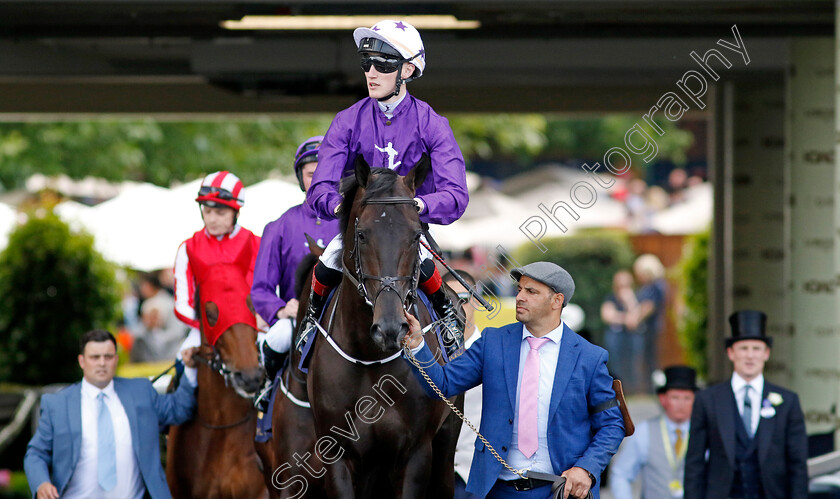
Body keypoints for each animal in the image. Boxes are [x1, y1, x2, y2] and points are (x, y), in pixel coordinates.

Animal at [306, 154, 462, 498]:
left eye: (416, 235)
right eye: (362, 234)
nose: (390, 328)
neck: (369, 357)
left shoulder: (415, 454)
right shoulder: (337, 455)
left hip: (445, 447)